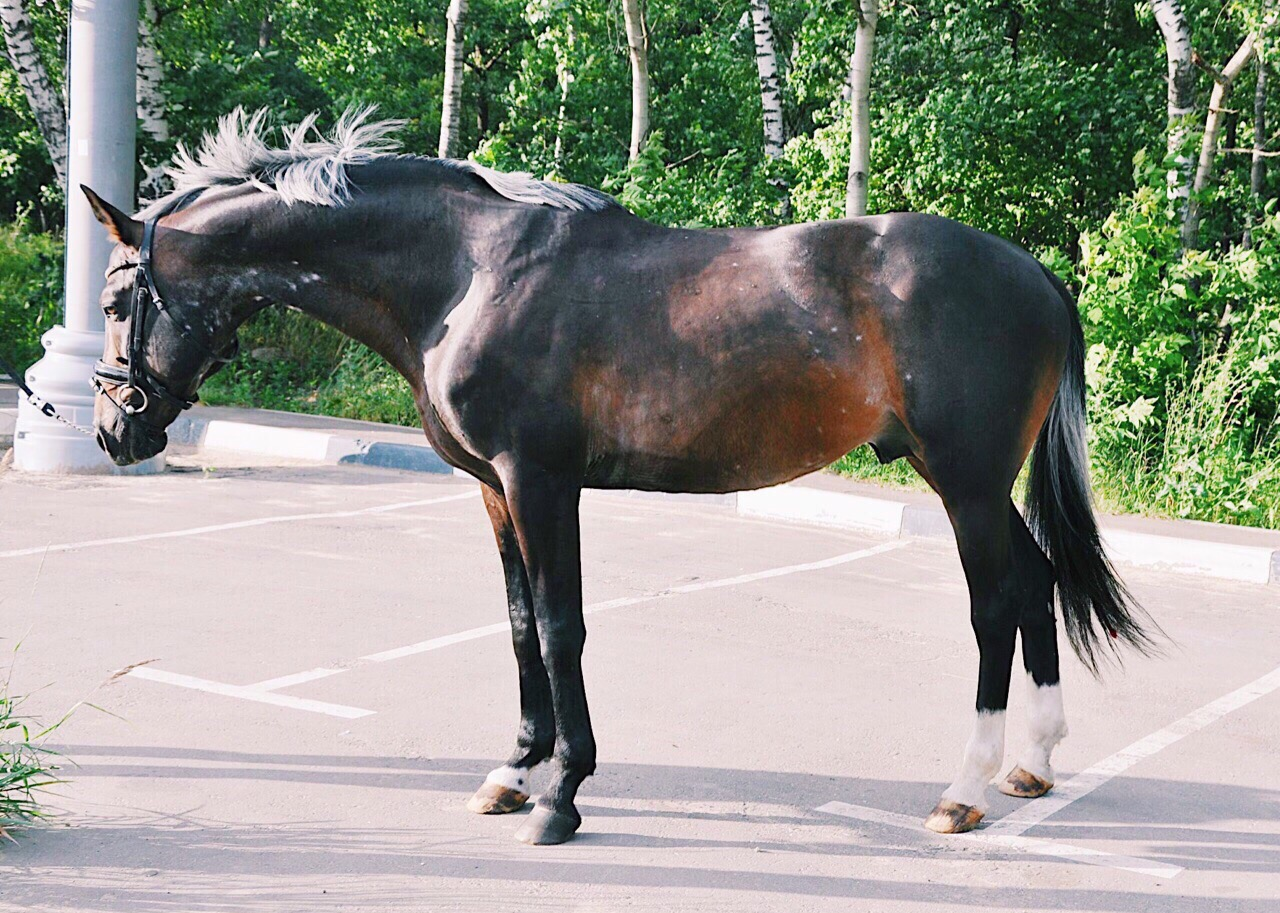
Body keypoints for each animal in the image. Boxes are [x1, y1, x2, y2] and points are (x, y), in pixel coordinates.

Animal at [85, 110, 1157, 845]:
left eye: (110, 298)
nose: (111, 430)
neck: (467, 273)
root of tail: (1035, 271)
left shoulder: (539, 481)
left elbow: (563, 627)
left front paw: (561, 796)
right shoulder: (492, 488)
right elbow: (520, 623)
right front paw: (513, 770)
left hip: (964, 485)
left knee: (996, 603)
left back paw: (965, 788)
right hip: (977, 487)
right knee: (1038, 580)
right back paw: (1032, 764)